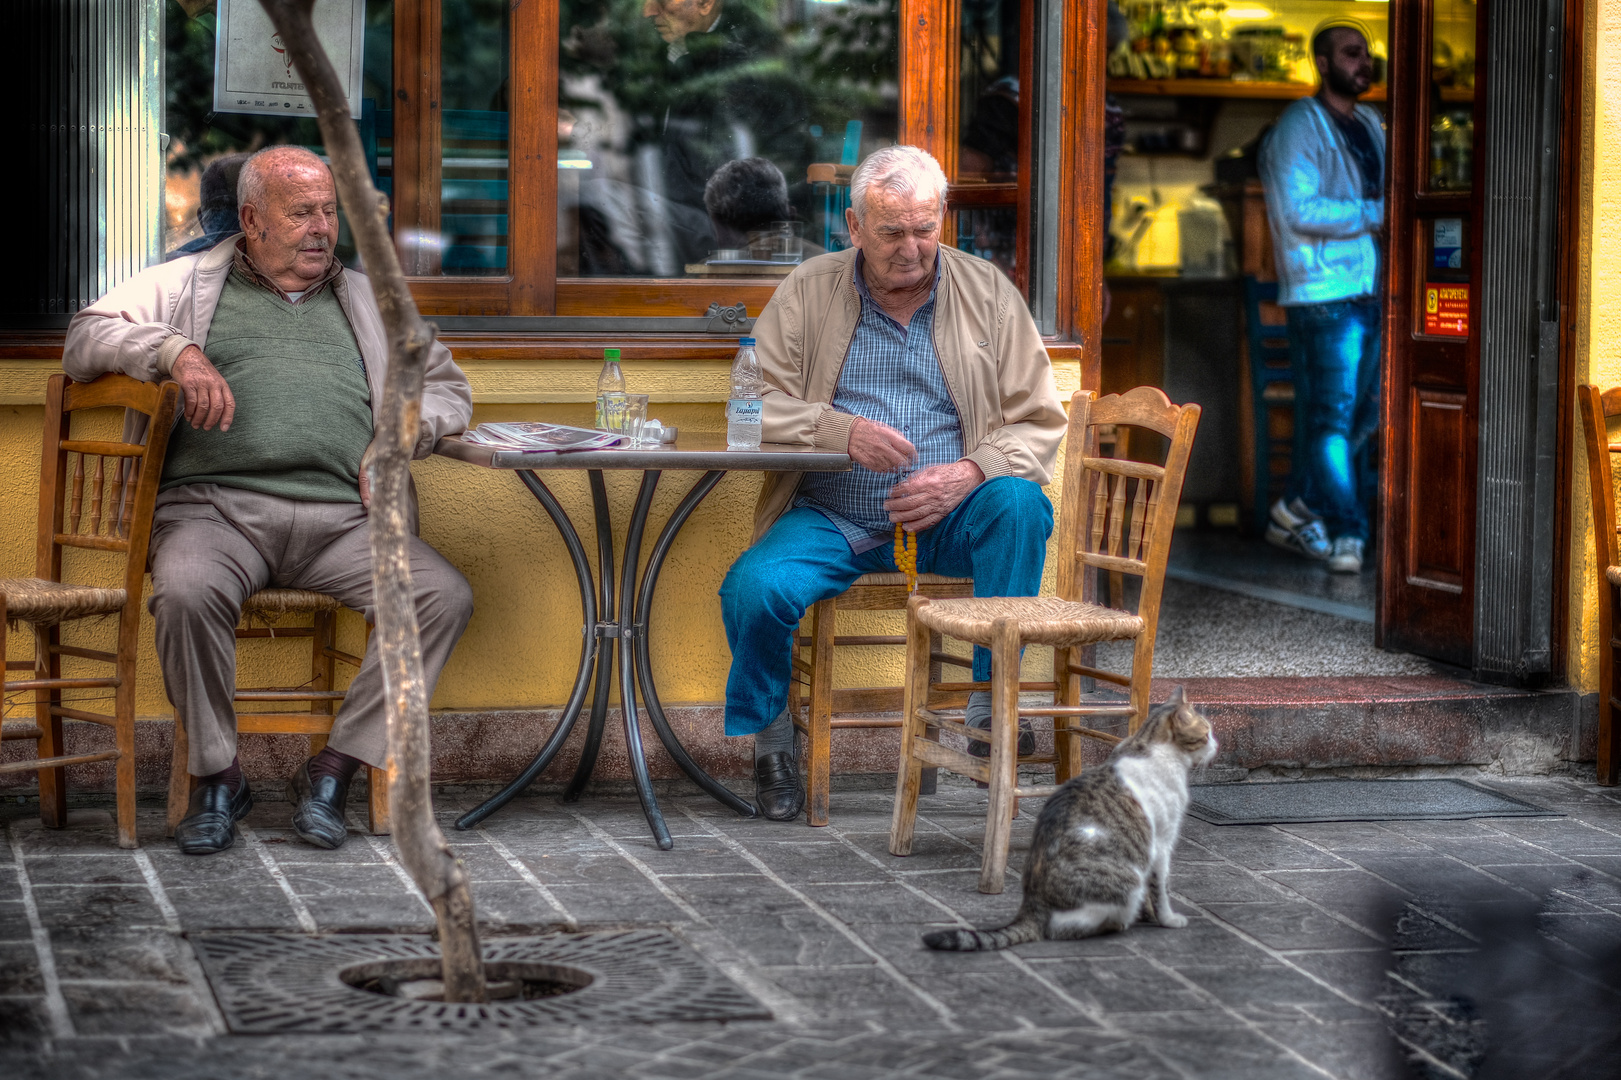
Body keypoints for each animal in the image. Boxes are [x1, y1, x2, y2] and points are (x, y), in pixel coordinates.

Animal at [927, 684, 1218, 947]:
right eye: (1206, 732)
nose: (1217, 745)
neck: (1147, 744)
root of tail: (1032, 906)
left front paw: (1149, 914)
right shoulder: (1161, 843)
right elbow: (1161, 889)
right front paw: (1168, 919)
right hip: (1125, 879)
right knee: (1063, 928)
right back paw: (1119, 922)